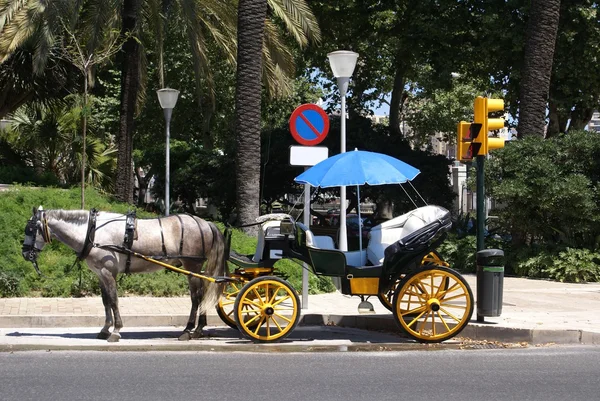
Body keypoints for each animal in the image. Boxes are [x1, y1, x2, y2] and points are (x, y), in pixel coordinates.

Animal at [21, 206, 225, 340]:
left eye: (30, 229)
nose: (24, 253)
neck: (93, 232)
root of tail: (205, 223)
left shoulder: (108, 272)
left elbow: (113, 300)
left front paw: (116, 330)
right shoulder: (100, 274)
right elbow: (105, 301)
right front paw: (105, 329)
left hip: (192, 266)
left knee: (196, 297)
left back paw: (189, 330)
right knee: (201, 294)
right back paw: (198, 329)